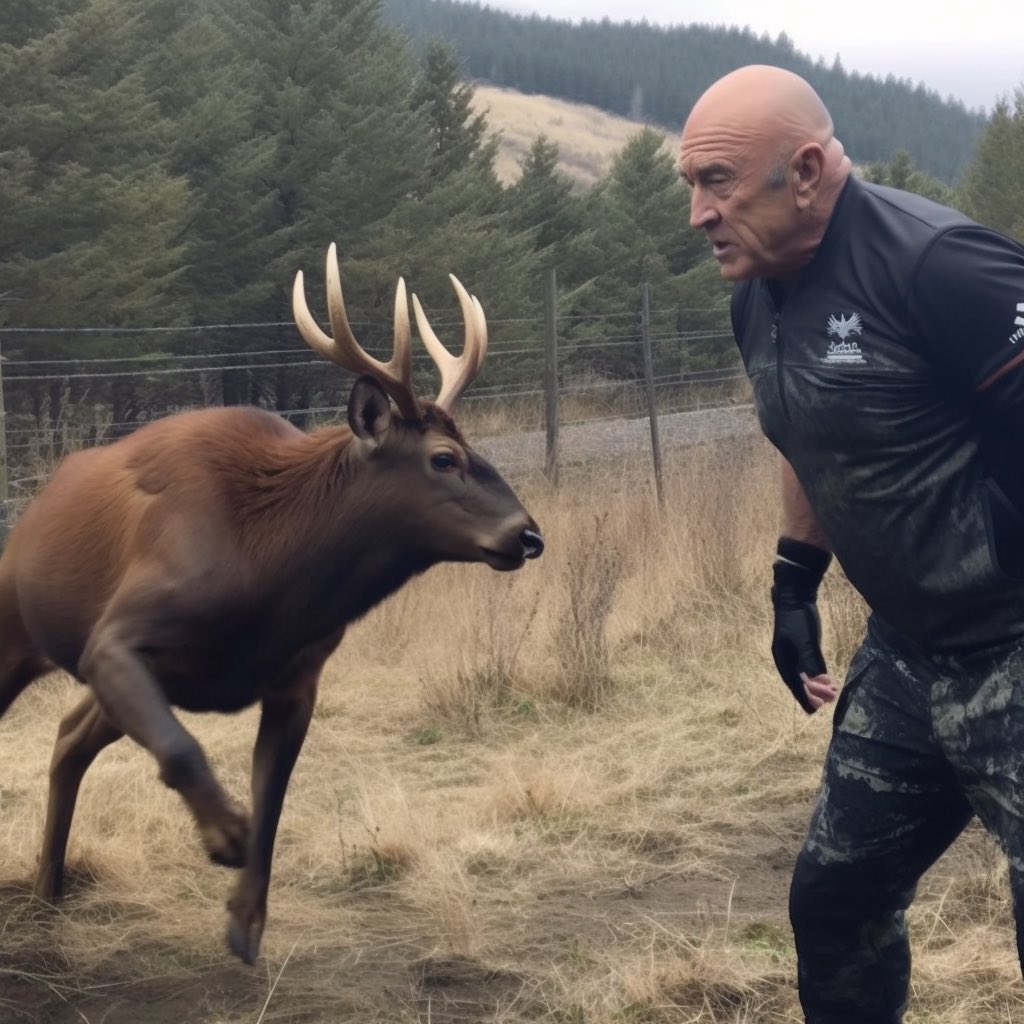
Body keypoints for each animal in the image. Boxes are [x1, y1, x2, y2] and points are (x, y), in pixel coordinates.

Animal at [0, 243, 543, 964]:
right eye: (443, 459)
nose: (528, 534)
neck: (269, 583)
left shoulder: (297, 677)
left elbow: (275, 798)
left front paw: (246, 919)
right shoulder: (115, 635)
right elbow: (182, 750)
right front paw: (225, 834)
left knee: (69, 736)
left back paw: (48, 887)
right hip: (14, 631)